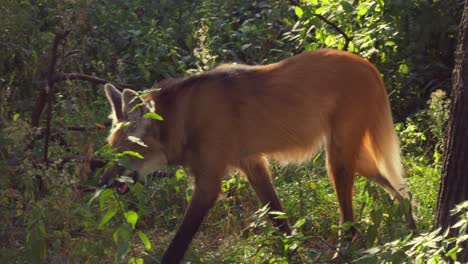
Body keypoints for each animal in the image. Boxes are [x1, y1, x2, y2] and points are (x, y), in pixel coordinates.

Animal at [100, 49, 414, 262]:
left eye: (124, 152)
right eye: (112, 148)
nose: (103, 182)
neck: (183, 119)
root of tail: (367, 64)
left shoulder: (209, 183)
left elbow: (177, 246)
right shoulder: (253, 164)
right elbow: (279, 220)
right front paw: (293, 254)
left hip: (336, 160)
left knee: (351, 223)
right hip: (355, 160)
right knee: (403, 192)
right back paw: (413, 233)